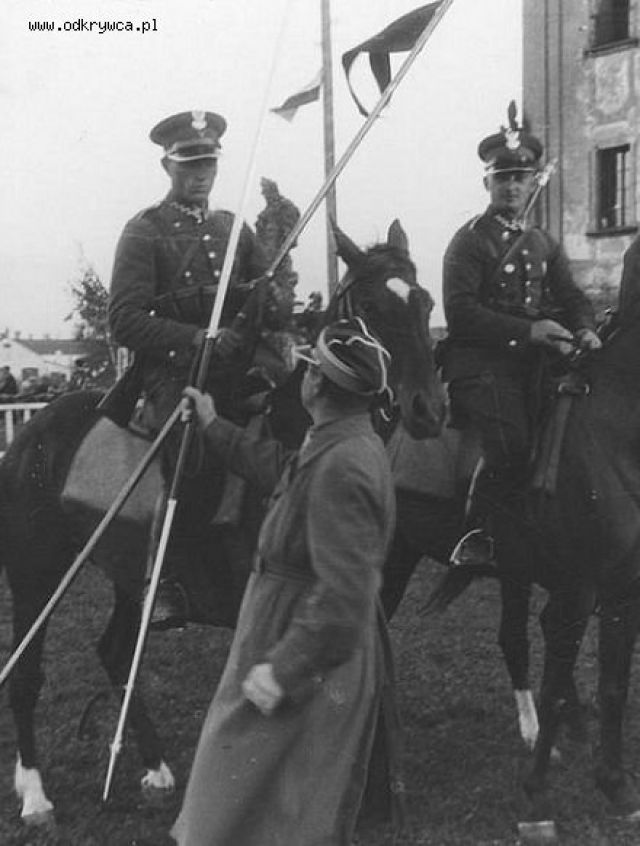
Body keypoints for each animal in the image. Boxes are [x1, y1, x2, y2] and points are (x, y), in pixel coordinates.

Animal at [0, 220, 445, 827]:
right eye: (373, 306)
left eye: (425, 302)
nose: (428, 410)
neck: (302, 432)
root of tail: (30, 433)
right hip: (36, 574)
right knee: (26, 671)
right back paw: (35, 793)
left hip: (128, 575)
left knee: (116, 650)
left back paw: (156, 768)